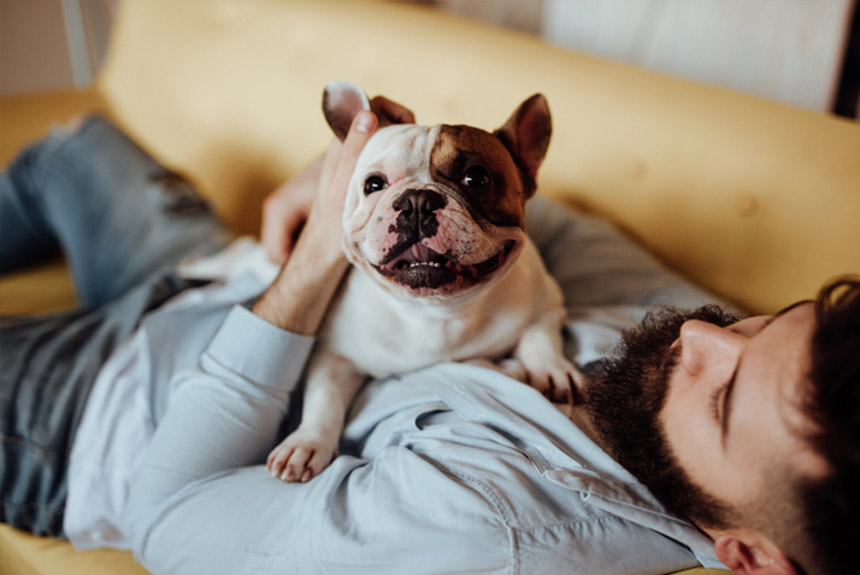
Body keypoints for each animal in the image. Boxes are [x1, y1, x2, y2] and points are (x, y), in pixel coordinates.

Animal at [266, 83, 580, 484]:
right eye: (373, 184)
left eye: (476, 179)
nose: (417, 200)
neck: (436, 312)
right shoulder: (334, 354)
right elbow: (324, 398)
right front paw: (306, 442)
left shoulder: (546, 302)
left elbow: (540, 336)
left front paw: (551, 370)